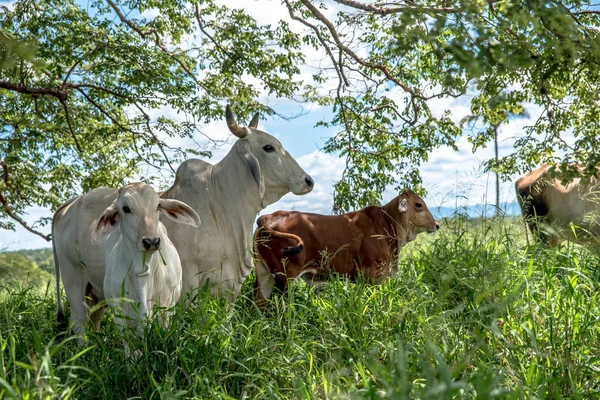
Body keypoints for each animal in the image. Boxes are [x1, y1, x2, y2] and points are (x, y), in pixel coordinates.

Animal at [253, 189, 440, 302]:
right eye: (418, 204)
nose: (437, 225)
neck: (387, 225)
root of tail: (268, 217)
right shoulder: (371, 275)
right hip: (285, 278)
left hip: (263, 273)